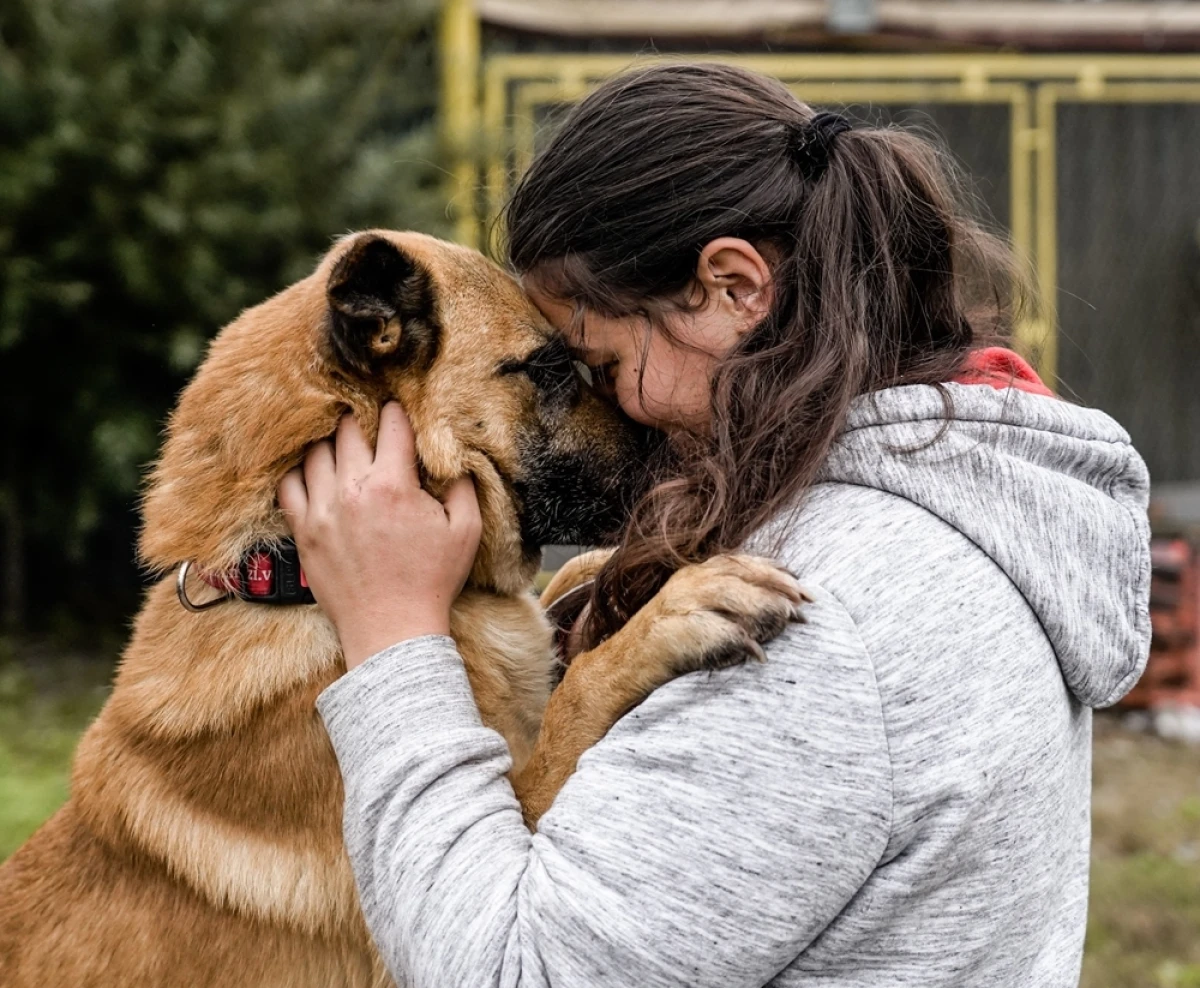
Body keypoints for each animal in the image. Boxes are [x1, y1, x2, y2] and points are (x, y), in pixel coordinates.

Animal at [4, 234, 806, 988]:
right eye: (549, 369)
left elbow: (564, 590)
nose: (681, 460)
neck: (284, 573)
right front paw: (677, 613)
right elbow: (576, 696)